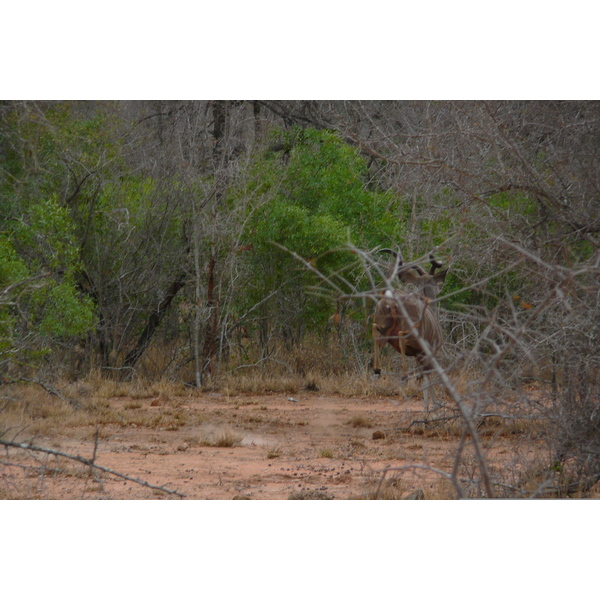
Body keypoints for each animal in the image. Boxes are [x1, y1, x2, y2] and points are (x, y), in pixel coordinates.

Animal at [372, 248, 448, 408]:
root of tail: (391, 300)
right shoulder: (427, 353)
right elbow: (427, 377)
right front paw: (432, 405)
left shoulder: (419, 356)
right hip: (411, 334)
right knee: (401, 336)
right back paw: (403, 377)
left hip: (384, 330)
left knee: (374, 328)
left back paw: (377, 371)